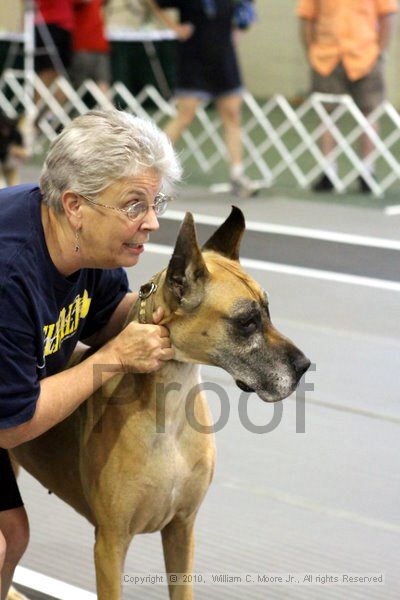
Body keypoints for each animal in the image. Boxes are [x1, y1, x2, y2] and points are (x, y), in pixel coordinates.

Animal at [10, 207, 310, 600]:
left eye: (269, 310)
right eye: (246, 321)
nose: (305, 366)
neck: (170, 409)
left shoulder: (182, 530)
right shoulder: (110, 545)